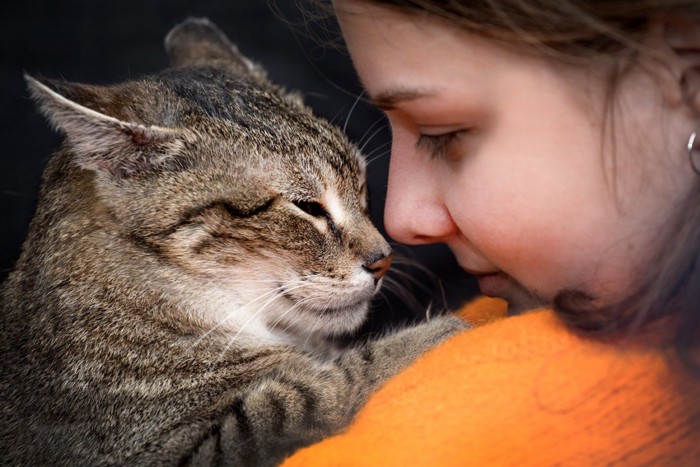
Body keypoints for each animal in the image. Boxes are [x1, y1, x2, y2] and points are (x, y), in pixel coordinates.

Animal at [1, 16, 470, 466]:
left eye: (360, 185)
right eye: (308, 207)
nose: (383, 259)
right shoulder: (182, 451)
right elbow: (312, 391)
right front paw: (444, 329)